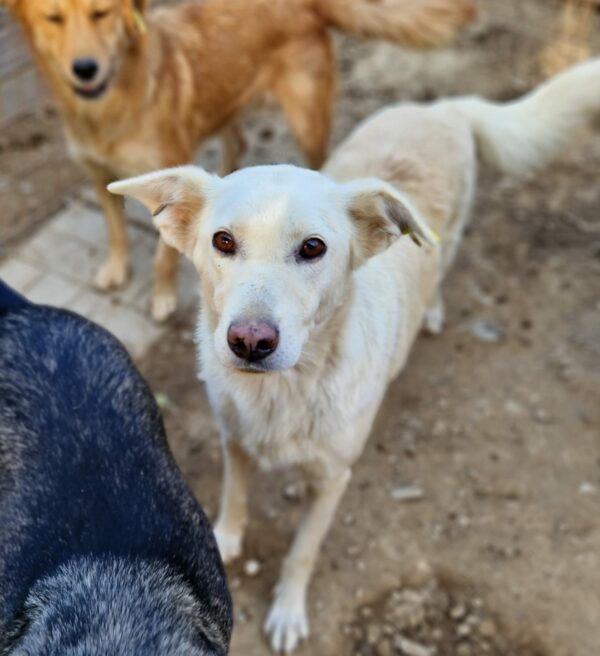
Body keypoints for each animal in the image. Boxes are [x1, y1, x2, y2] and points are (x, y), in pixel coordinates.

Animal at [2, 0, 476, 320]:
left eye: (101, 14)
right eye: (53, 18)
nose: (85, 68)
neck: (106, 108)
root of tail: (306, 4)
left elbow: (161, 256)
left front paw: (162, 296)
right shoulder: (98, 175)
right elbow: (116, 231)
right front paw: (116, 268)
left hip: (306, 121)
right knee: (239, 142)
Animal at [109, 59, 600, 652]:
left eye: (313, 248)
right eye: (222, 241)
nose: (248, 341)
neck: (283, 393)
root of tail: (440, 109)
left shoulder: (332, 480)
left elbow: (302, 552)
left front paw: (287, 611)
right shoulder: (235, 439)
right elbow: (235, 495)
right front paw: (226, 537)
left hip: (449, 238)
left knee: (441, 270)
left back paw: (432, 310)